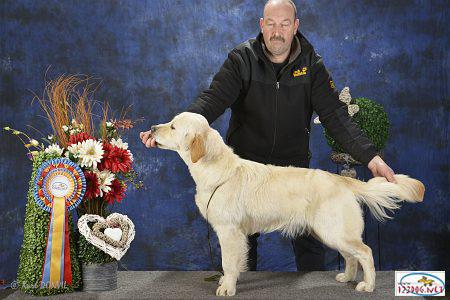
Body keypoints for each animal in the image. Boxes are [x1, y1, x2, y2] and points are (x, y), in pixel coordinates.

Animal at [149, 110, 426, 296]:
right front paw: (228, 281)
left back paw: (367, 285)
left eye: (173, 127)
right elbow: (236, 263)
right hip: (331, 232)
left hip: (335, 230)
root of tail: (342, 180)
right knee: (351, 256)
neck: (217, 170)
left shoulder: (228, 231)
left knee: (365, 252)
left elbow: (228, 262)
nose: (151, 128)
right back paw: (345, 276)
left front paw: (227, 287)